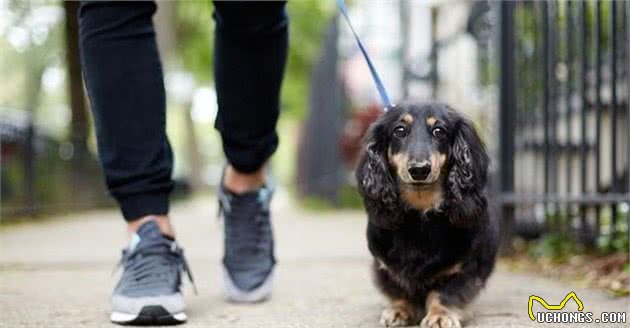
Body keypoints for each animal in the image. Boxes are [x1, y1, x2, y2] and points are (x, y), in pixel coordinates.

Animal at [356, 101, 498, 326]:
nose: (419, 170)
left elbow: (444, 293)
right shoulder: (385, 266)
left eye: (439, 131)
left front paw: (440, 315)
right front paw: (399, 310)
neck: (421, 212)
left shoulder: (463, 269)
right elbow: (399, 289)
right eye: (399, 131)